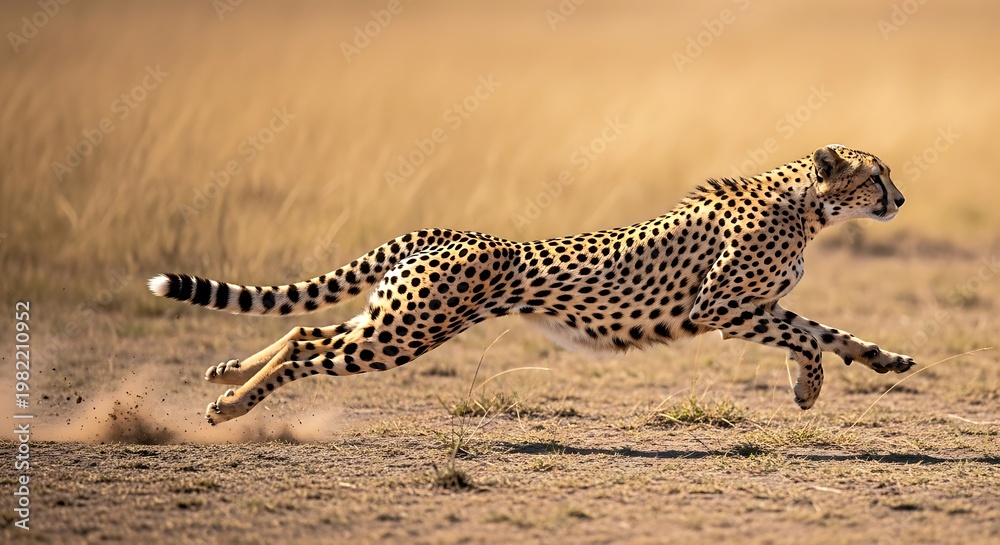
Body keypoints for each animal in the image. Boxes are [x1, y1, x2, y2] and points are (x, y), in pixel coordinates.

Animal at [148, 144, 915, 425]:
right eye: (876, 175)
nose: (901, 199)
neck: (805, 204)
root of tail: (452, 232)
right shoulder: (724, 306)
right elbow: (810, 336)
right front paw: (810, 385)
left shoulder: (759, 306)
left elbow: (826, 332)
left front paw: (877, 361)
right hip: (406, 331)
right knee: (311, 352)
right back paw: (229, 407)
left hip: (395, 316)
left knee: (305, 329)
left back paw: (226, 373)